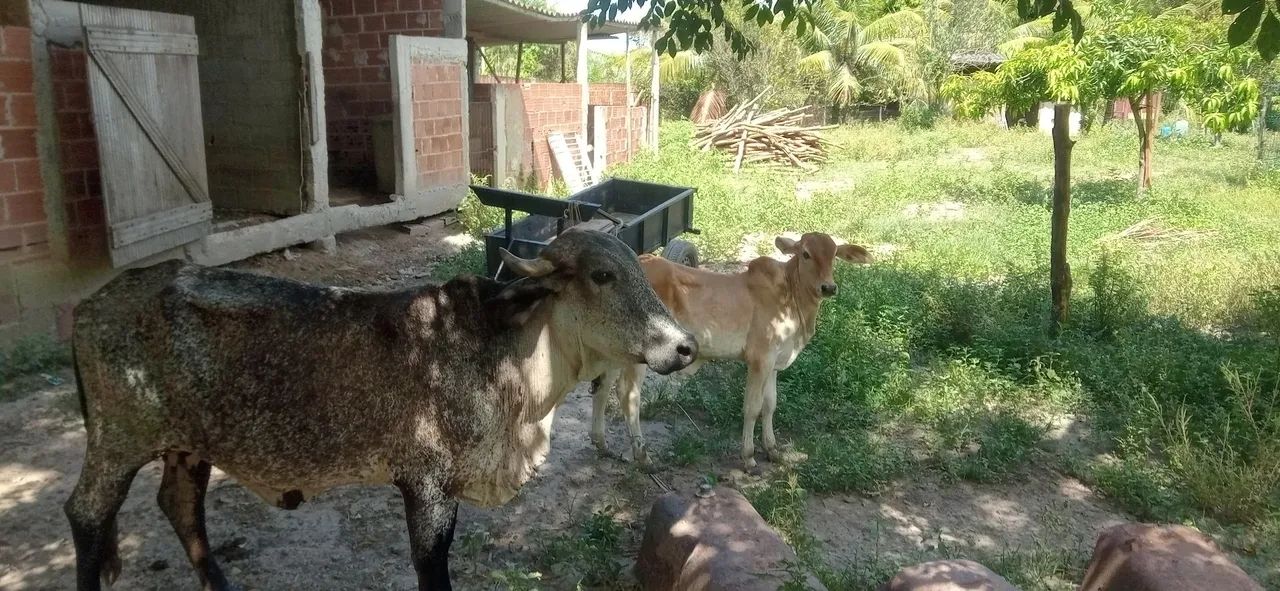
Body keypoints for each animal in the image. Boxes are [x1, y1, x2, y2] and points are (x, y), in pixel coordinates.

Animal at [65, 229, 697, 591]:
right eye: (602, 275)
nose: (684, 346)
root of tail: (90, 305)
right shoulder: (427, 486)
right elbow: (431, 566)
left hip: (188, 443)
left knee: (179, 505)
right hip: (119, 438)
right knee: (87, 515)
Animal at [590, 232, 871, 470]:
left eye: (834, 255)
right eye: (805, 254)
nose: (828, 287)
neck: (790, 296)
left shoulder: (774, 364)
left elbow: (770, 405)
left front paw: (773, 450)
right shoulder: (759, 360)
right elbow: (752, 407)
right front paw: (748, 457)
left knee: (602, 387)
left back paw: (601, 444)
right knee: (628, 395)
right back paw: (642, 456)